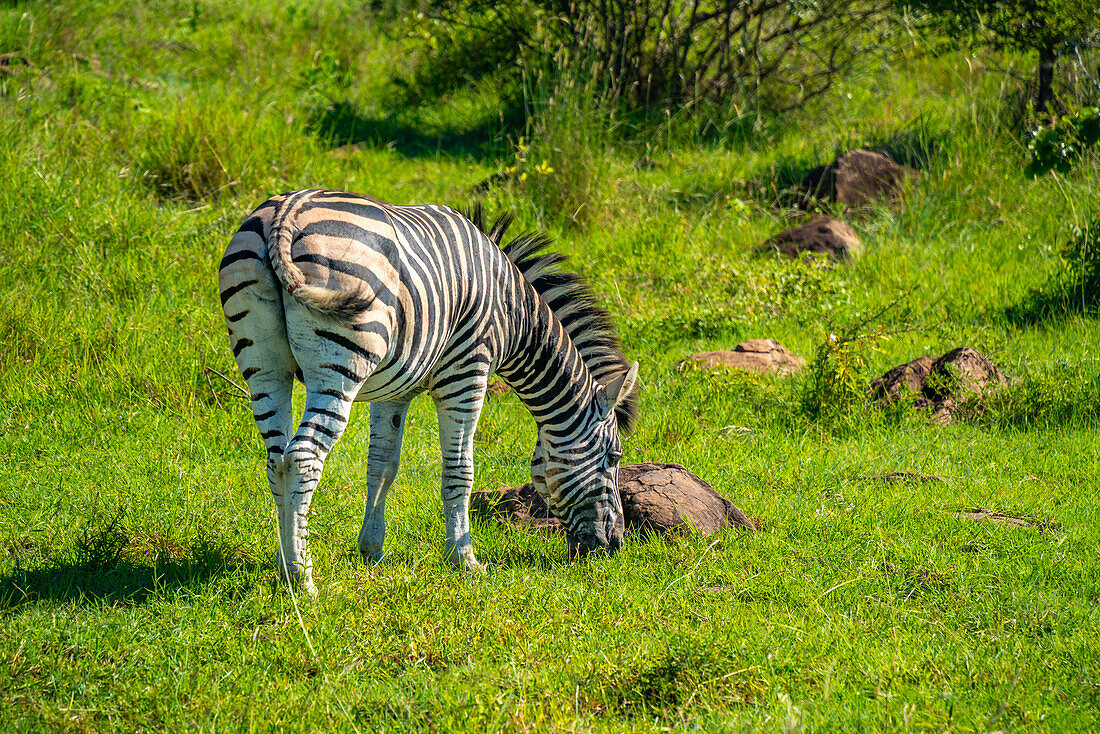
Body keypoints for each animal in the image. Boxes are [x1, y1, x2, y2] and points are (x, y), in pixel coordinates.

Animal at [217, 191, 642, 598]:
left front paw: (371, 550)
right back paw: (302, 580)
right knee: (303, 457)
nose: (616, 545)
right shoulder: (467, 374)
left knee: (278, 460)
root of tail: (285, 213)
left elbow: (381, 466)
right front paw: (465, 559)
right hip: (338, 367)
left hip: (264, 366)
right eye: (614, 457)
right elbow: (460, 471)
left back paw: (285, 559)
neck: (514, 313)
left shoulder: (394, 389)